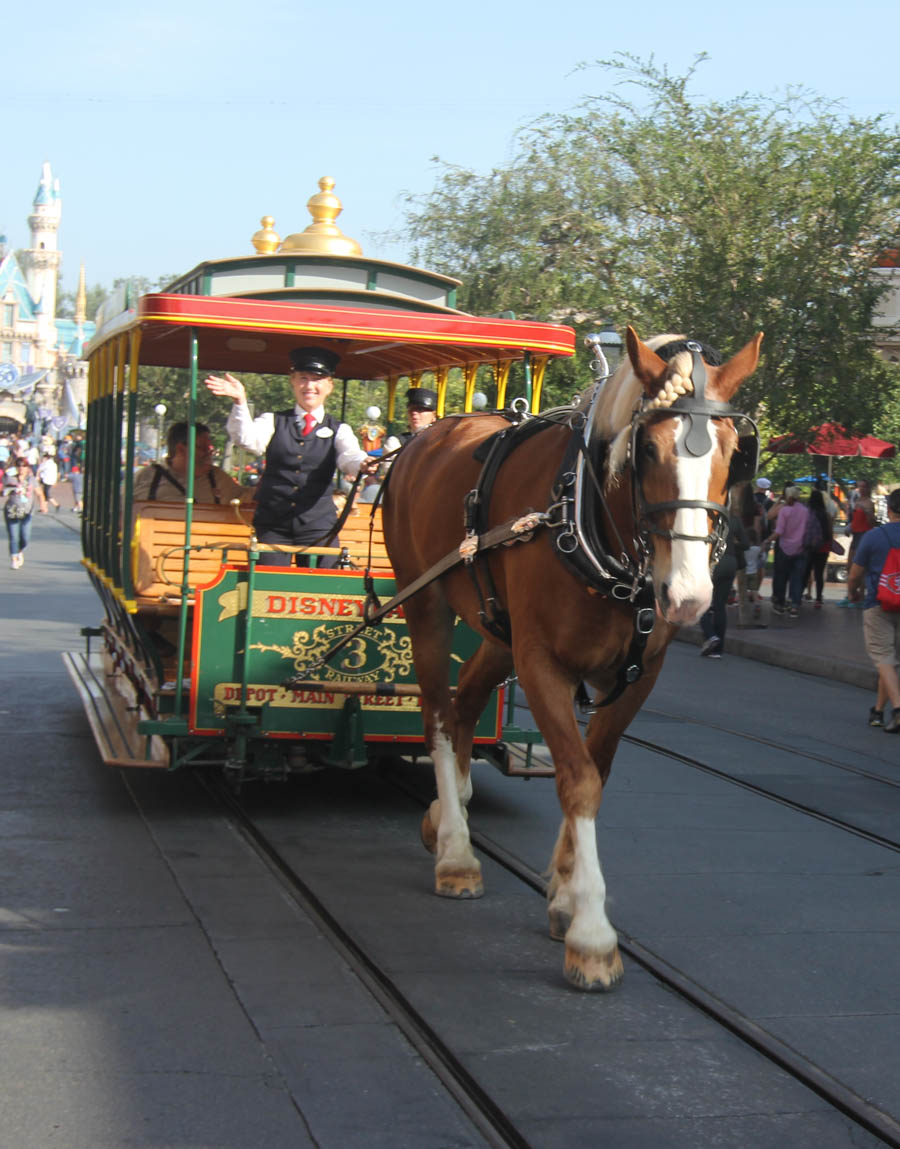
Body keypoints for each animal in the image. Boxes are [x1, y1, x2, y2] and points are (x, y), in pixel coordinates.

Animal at [383, 328, 763, 992]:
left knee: (465, 707)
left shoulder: (638, 675)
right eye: (648, 450)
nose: (691, 596)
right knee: (437, 714)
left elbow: (594, 769)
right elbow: (577, 778)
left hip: (496, 631)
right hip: (424, 602)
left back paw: (443, 815)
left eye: (736, 453)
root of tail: (421, 441)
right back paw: (456, 851)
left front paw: (563, 895)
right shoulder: (543, 664)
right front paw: (591, 931)